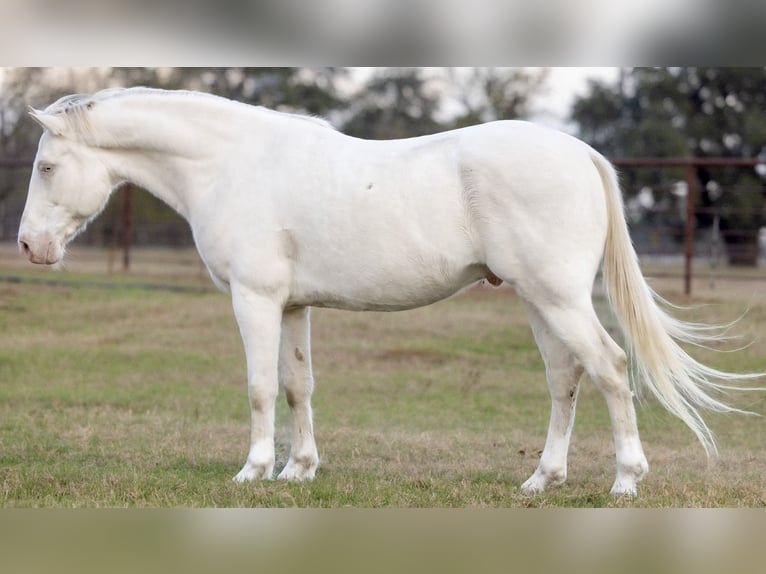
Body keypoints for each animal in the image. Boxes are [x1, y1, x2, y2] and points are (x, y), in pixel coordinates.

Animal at [18, 87, 761, 496]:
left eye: (48, 166)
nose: (29, 247)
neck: (231, 164)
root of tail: (580, 151)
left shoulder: (255, 300)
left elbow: (259, 388)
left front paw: (254, 471)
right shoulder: (292, 306)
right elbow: (297, 386)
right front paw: (299, 471)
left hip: (559, 299)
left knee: (608, 368)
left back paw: (626, 480)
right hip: (539, 301)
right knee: (565, 379)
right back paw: (541, 480)